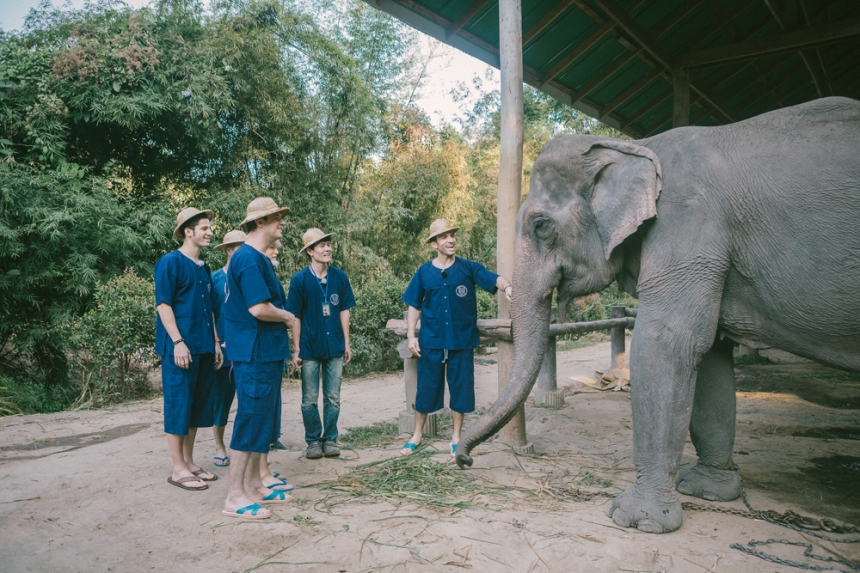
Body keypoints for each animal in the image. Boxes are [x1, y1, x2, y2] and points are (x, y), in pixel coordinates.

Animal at [456, 97, 860, 532]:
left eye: (541, 226)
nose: (463, 459)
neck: (635, 147)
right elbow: (710, 357)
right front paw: (706, 491)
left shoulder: (688, 225)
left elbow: (667, 344)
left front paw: (636, 520)